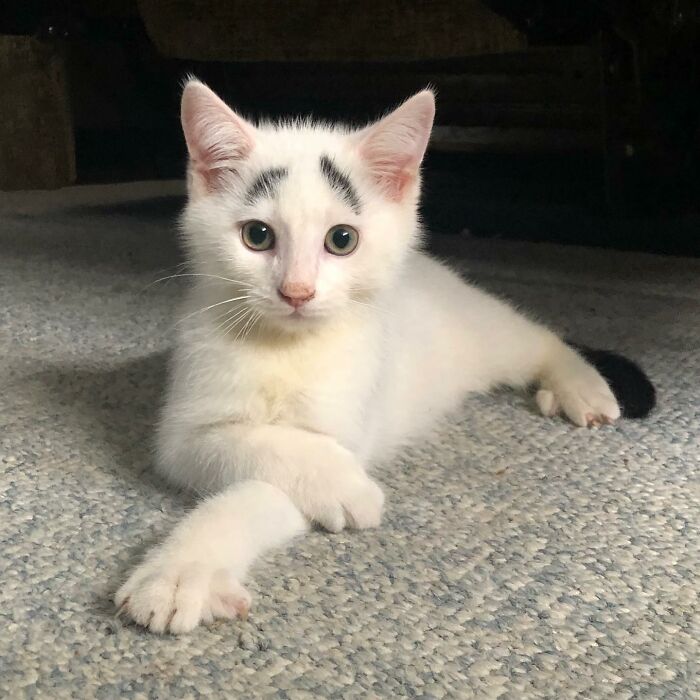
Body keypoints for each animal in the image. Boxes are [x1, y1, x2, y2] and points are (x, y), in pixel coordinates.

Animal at [115, 80, 624, 636]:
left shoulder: (350, 418)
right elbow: (254, 445)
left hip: (480, 333)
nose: (297, 291)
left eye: (342, 239)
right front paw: (180, 570)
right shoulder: (183, 432)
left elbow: (258, 492)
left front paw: (185, 569)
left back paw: (581, 388)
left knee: (537, 336)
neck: (285, 347)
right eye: (257, 236)